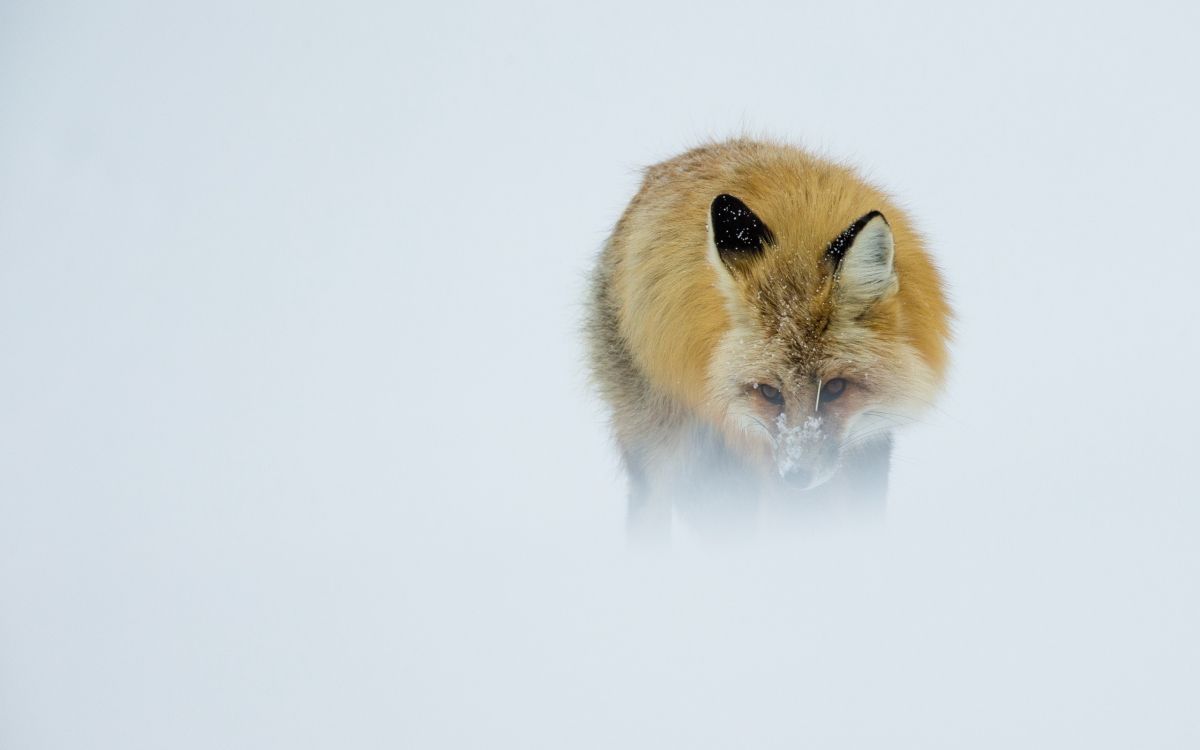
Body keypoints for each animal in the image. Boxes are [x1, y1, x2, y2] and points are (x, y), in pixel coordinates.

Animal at [586, 139, 951, 536]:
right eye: (769, 392)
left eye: (836, 387)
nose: (796, 477)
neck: (799, 241)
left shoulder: (869, 440)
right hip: (662, 448)